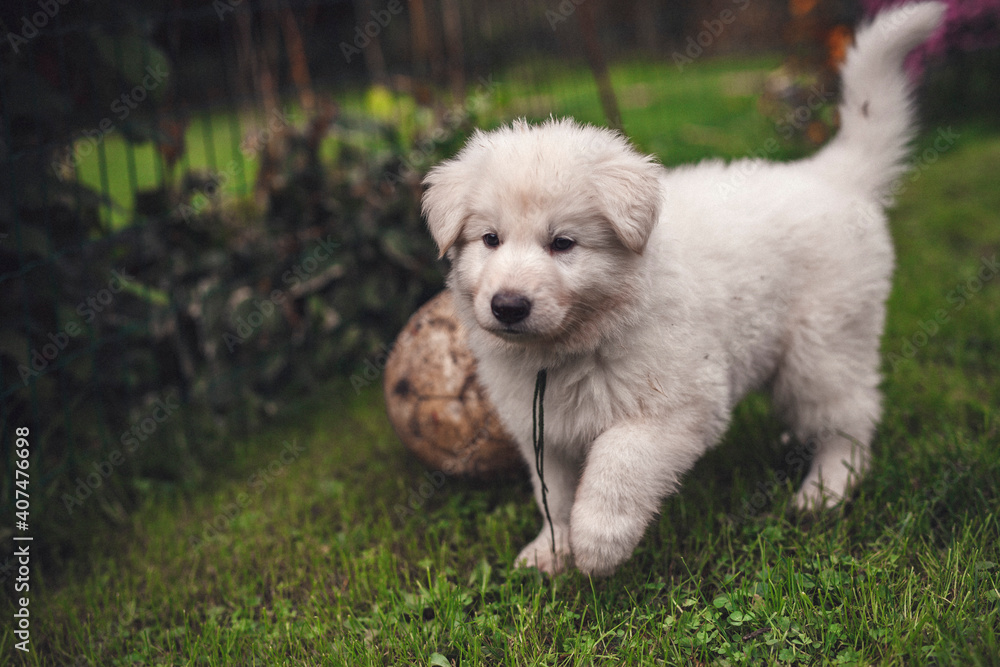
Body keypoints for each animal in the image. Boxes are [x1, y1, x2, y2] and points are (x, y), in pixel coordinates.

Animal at [420, 2, 944, 576]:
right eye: (490, 239)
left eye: (563, 243)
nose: (508, 306)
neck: (572, 346)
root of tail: (832, 175)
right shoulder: (544, 428)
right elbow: (551, 493)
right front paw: (549, 551)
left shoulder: (681, 402)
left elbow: (619, 459)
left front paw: (598, 542)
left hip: (824, 344)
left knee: (850, 416)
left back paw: (825, 489)